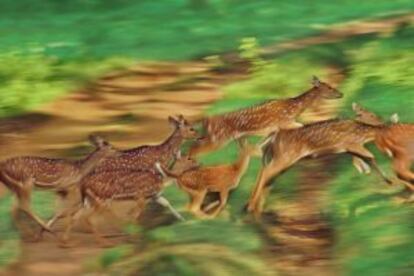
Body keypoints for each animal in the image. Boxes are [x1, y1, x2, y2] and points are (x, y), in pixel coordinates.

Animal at [60, 154, 199, 247]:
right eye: (189, 158)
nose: (198, 163)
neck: (162, 180)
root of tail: (83, 183)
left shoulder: (154, 196)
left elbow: (166, 203)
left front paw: (183, 220)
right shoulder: (141, 196)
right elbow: (135, 215)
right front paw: (134, 237)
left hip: (90, 200)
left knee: (76, 216)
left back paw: (66, 242)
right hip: (103, 199)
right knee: (90, 218)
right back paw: (105, 242)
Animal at [189, 76, 342, 156]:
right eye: (329, 87)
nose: (341, 94)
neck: (294, 109)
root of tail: (205, 120)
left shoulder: (273, 130)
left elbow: (259, 146)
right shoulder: (285, 122)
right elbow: (304, 125)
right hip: (219, 138)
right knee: (194, 149)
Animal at [246, 109, 392, 215]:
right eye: (371, 114)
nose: (383, 121)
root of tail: (273, 137)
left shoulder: (349, 149)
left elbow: (365, 159)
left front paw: (371, 173)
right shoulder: (351, 144)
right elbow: (371, 156)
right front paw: (387, 179)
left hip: (281, 159)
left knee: (265, 173)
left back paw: (255, 207)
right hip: (286, 157)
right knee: (266, 173)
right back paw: (252, 208)